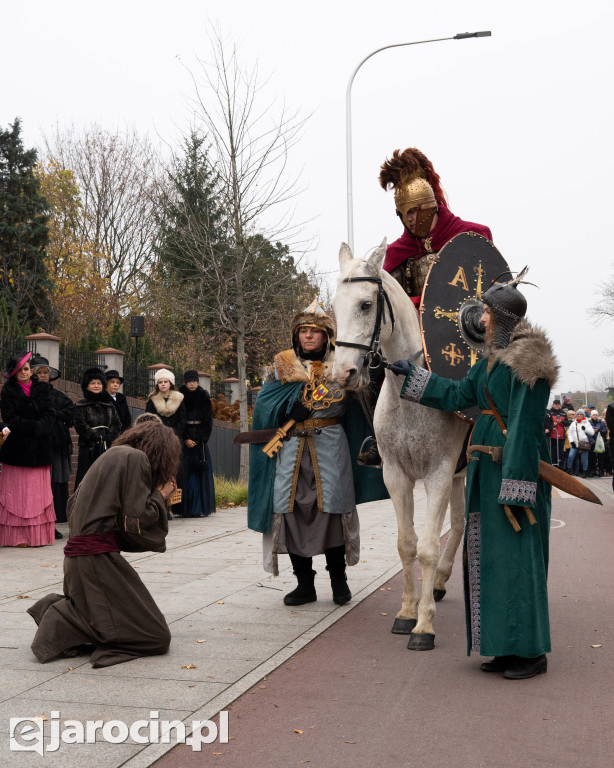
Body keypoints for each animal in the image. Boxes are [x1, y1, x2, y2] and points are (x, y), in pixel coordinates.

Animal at [332, 240, 472, 648]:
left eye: (366, 304)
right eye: (334, 305)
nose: (343, 373)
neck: (413, 391)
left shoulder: (437, 472)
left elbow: (427, 547)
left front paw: (424, 625)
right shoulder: (396, 475)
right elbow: (407, 544)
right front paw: (408, 612)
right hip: (458, 475)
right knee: (457, 523)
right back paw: (438, 583)